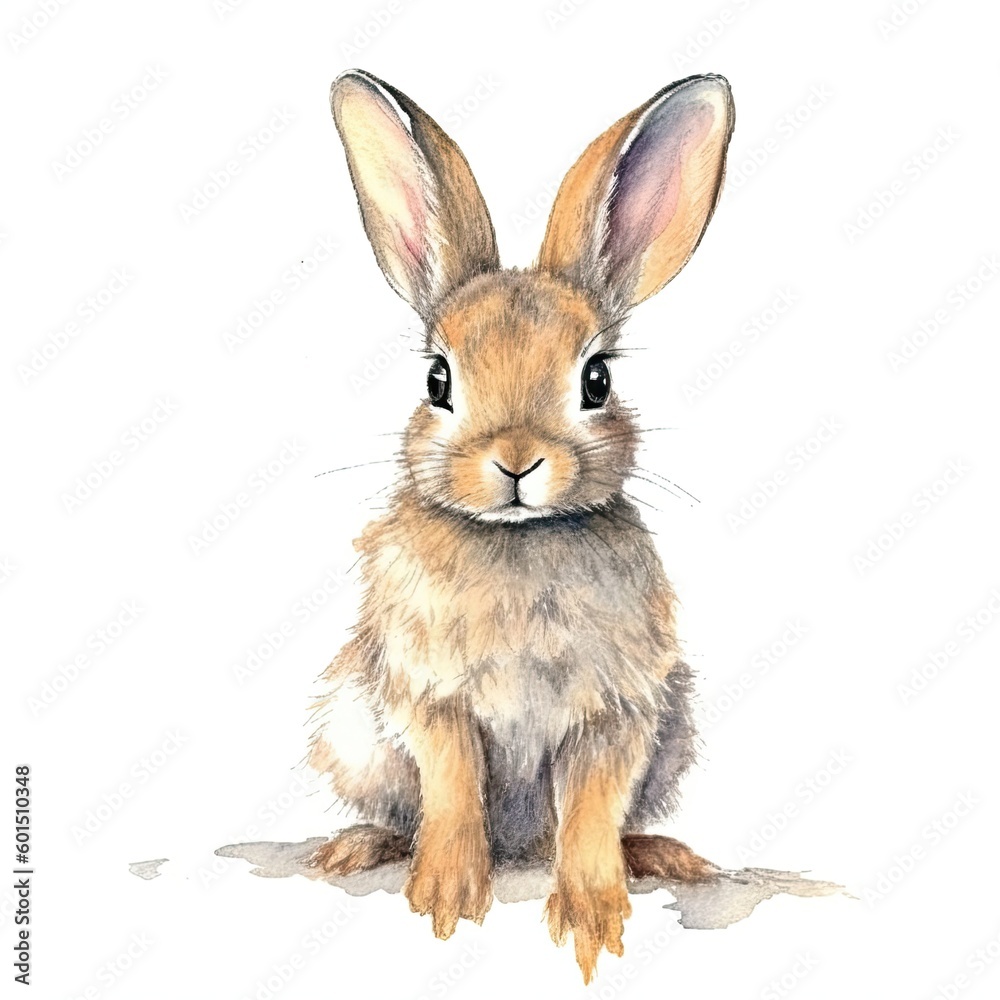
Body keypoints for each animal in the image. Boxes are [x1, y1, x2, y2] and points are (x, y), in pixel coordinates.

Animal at [307, 69, 734, 982]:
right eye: (438, 380)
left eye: (597, 379)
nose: (515, 459)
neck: (516, 541)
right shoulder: (430, 697)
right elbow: (452, 785)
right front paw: (445, 896)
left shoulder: (618, 712)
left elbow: (592, 808)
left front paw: (592, 918)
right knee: (400, 809)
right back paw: (359, 846)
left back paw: (662, 855)